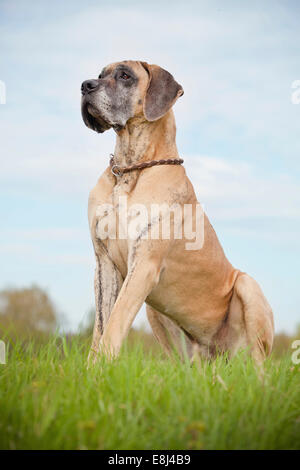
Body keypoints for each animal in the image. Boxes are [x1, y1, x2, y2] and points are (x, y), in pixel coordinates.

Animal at [80, 60, 274, 366]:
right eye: (100, 75)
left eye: (125, 75)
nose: (85, 85)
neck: (129, 169)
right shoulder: (105, 264)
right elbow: (100, 328)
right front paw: (91, 371)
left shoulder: (144, 264)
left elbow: (114, 324)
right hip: (158, 315)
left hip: (247, 287)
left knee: (258, 364)